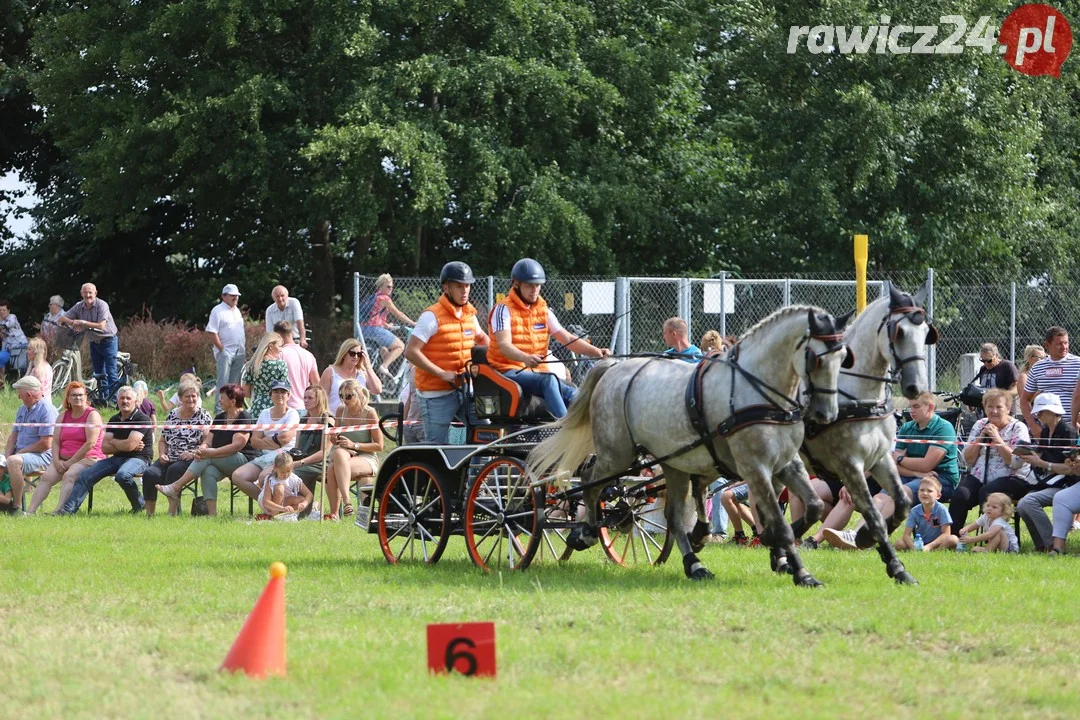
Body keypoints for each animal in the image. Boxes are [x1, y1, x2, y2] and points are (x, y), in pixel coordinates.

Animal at [529, 304, 851, 587]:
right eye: (815, 358)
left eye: (844, 357)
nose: (826, 414)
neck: (759, 393)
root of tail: (614, 367)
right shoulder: (755, 468)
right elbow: (781, 524)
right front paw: (800, 571)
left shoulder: (786, 464)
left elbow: (813, 507)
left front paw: (781, 555)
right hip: (617, 454)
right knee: (591, 481)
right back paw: (586, 533)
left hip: (672, 462)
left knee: (670, 514)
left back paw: (694, 563)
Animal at [799, 284, 941, 582]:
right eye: (899, 332)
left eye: (927, 334)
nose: (916, 387)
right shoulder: (850, 465)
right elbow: (873, 513)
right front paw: (894, 565)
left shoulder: (880, 459)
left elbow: (902, 501)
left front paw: (865, 537)